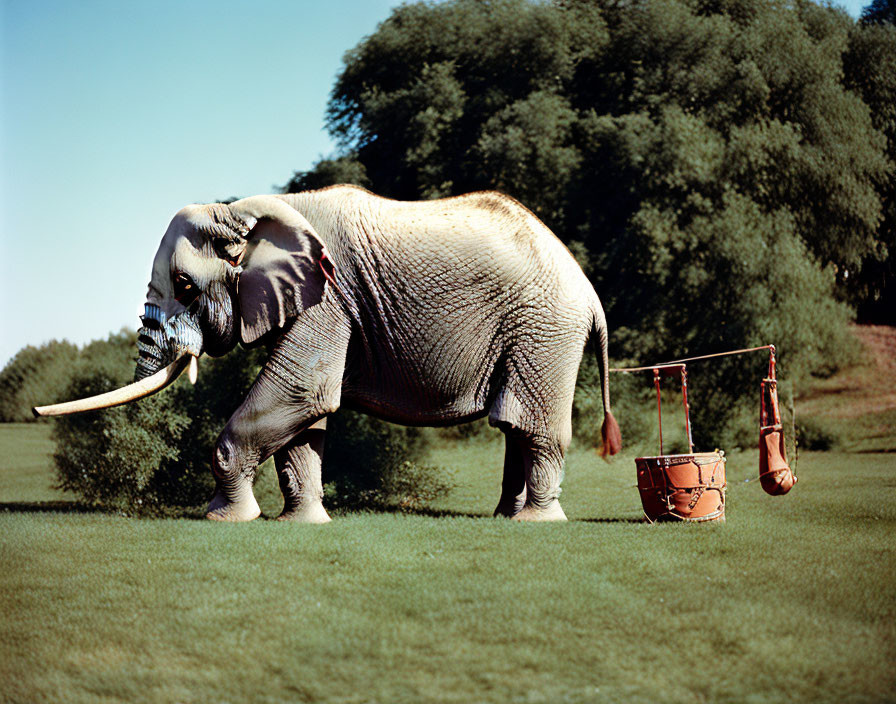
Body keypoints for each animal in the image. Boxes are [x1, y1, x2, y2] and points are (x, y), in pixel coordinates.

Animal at [36, 187, 624, 524]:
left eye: (183, 285)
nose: (37, 411)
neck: (245, 208)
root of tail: (590, 292)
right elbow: (306, 415)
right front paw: (302, 524)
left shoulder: (330, 295)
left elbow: (301, 391)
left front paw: (225, 519)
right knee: (513, 427)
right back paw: (506, 517)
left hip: (545, 329)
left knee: (532, 425)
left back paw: (537, 524)